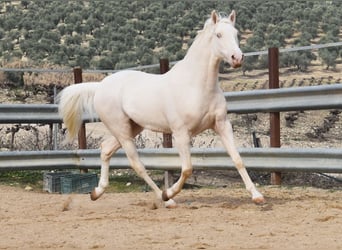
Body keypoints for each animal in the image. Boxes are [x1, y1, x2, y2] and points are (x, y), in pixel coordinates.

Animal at [58, 10, 264, 207]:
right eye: (218, 34)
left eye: (236, 34)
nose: (237, 58)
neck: (196, 85)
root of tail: (100, 86)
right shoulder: (181, 133)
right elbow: (187, 169)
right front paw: (169, 192)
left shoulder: (222, 125)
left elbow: (237, 159)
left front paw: (257, 197)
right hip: (121, 130)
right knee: (137, 164)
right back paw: (166, 199)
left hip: (132, 127)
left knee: (105, 149)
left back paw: (96, 192)